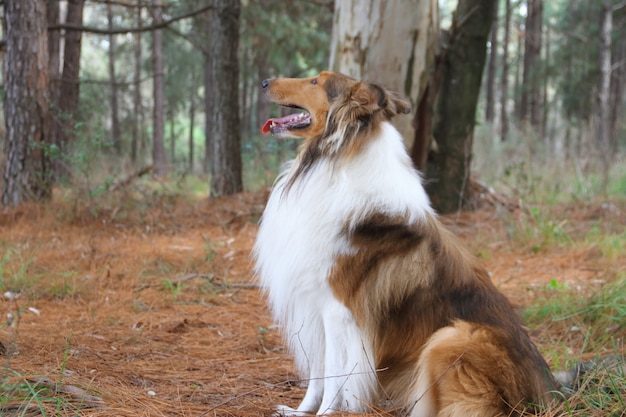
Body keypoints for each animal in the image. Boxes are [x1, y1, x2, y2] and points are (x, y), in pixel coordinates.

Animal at [254, 70, 556, 414]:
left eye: (316, 81)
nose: (263, 82)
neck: (336, 159)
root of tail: (546, 396)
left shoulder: (338, 311)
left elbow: (333, 373)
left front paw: (327, 413)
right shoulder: (315, 305)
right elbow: (318, 373)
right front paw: (301, 410)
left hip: (451, 336)